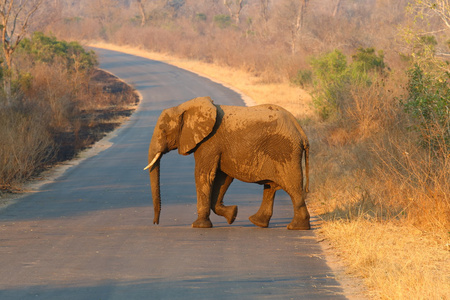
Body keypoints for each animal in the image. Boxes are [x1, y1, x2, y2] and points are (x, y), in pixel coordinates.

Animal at [144, 96, 310, 230]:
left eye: (163, 130)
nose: (155, 222)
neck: (185, 106)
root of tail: (301, 131)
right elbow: (222, 178)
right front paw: (233, 215)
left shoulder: (209, 142)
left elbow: (204, 175)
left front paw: (198, 226)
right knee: (271, 186)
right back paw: (258, 222)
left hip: (285, 151)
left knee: (292, 187)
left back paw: (296, 227)